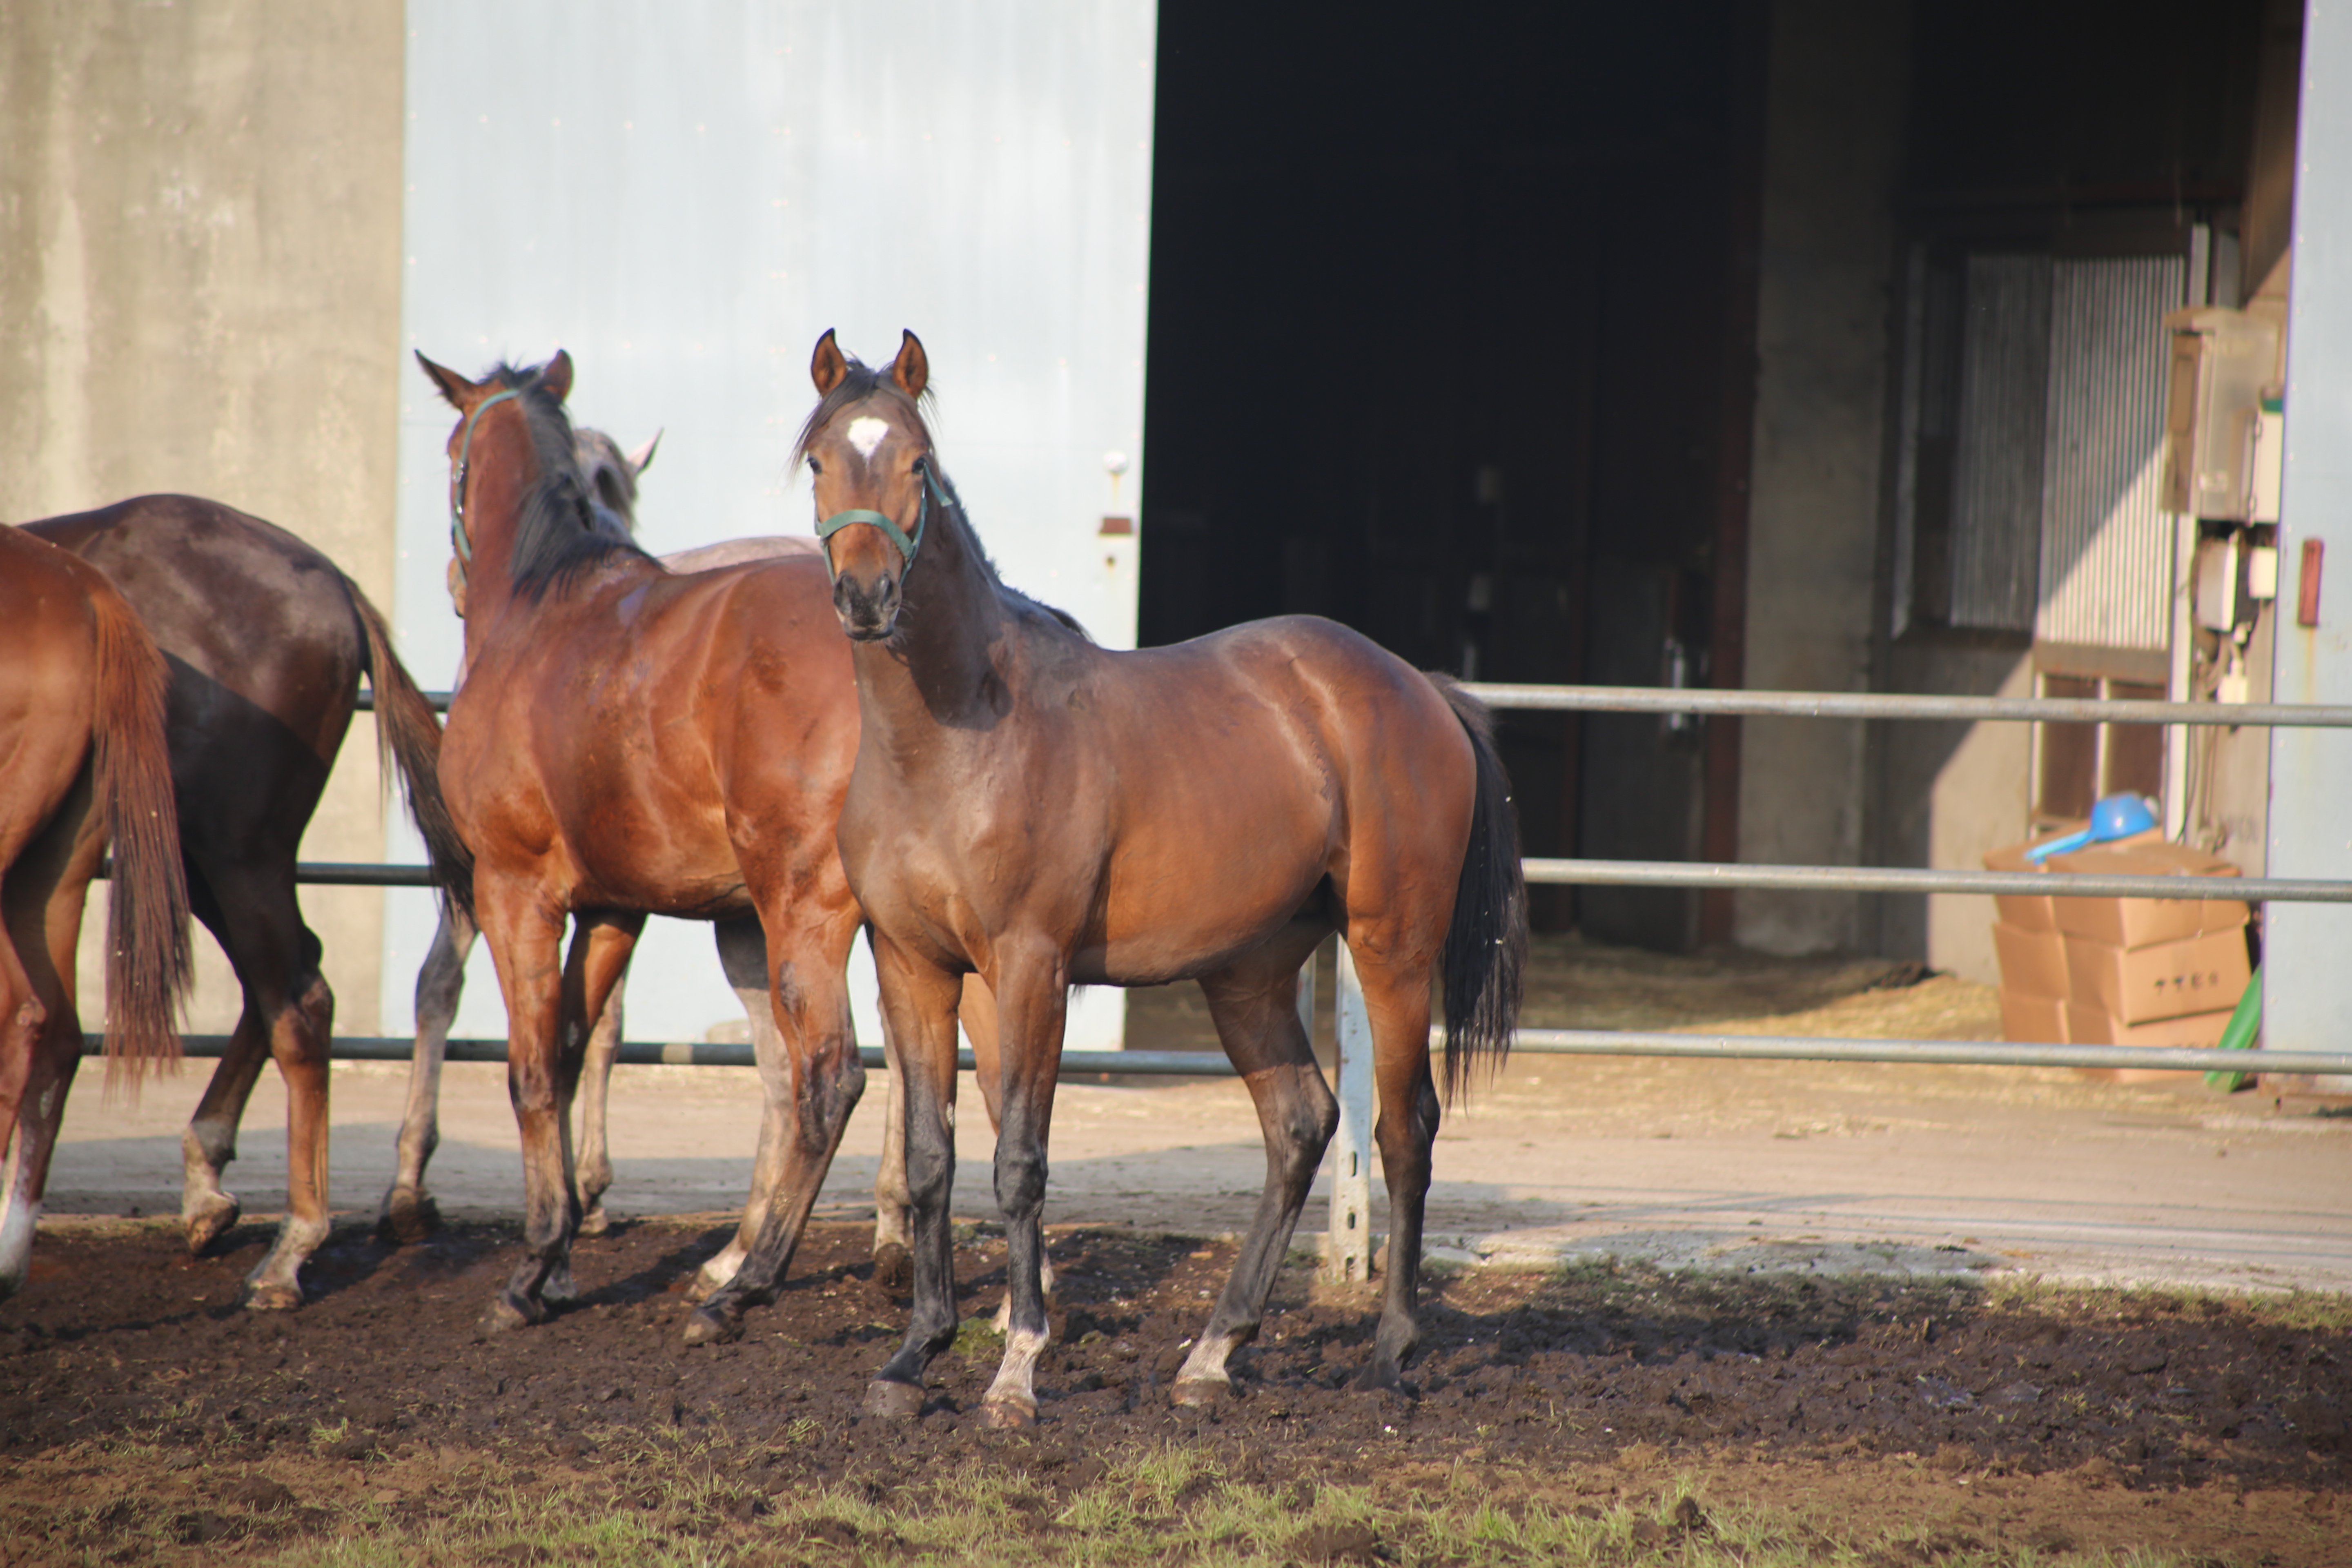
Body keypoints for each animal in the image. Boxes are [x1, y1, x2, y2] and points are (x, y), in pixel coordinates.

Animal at [23, 496, 463, 1307]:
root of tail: (334, 584)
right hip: (198, 850)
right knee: (291, 975)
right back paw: (210, 1186)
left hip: (232, 844)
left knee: (299, 997)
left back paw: (291, 1248)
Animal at [800, 334, 1533, 1439]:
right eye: (817, 460)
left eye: (918, 463)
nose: (866, 597)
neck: (953, 738)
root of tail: (1421, 689)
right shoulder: (909, 965)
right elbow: (931, 1160)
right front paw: (912, 1358)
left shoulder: (1032, 966)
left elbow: (1020, 1161)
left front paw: (1016, 1369)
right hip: (1250, 973)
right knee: (1300, 1126)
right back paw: (1212, 1355)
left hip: (1390, 949)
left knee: (1402, 1131)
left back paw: (1391, 1354)